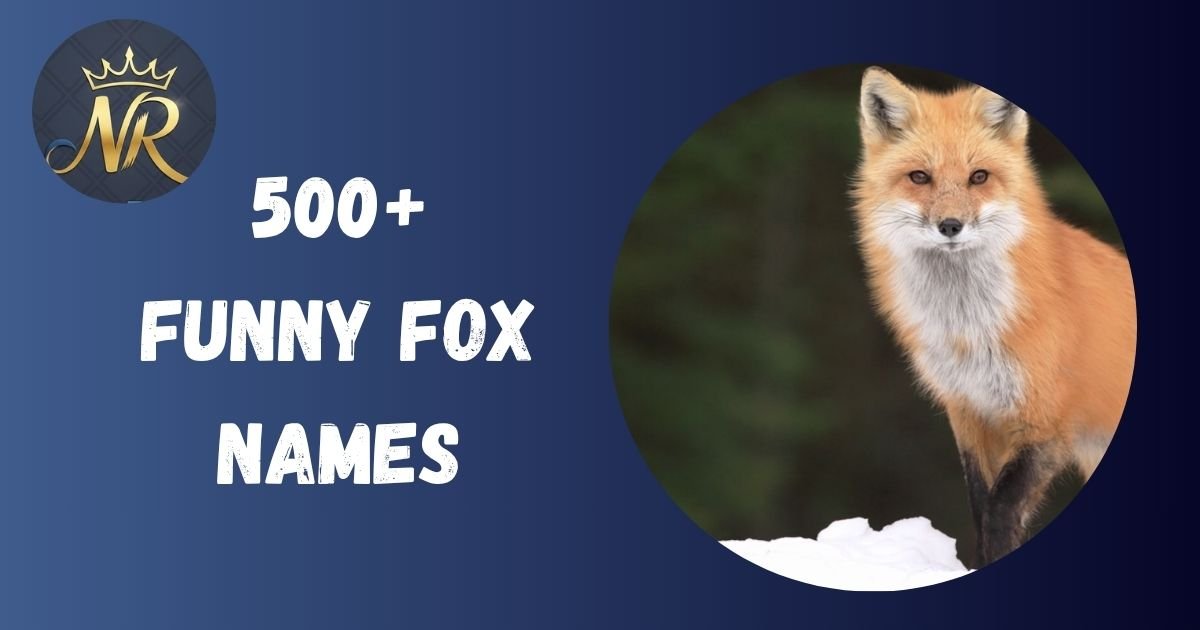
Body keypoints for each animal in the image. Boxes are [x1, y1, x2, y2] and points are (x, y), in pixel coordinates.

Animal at [851, 67, 1136, 567]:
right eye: (919, 177)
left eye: (978, 177)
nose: (950, 226)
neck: (971, 332)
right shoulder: (969, 412)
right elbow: (981, 508)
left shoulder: (1045, 422)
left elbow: (1001, 514)